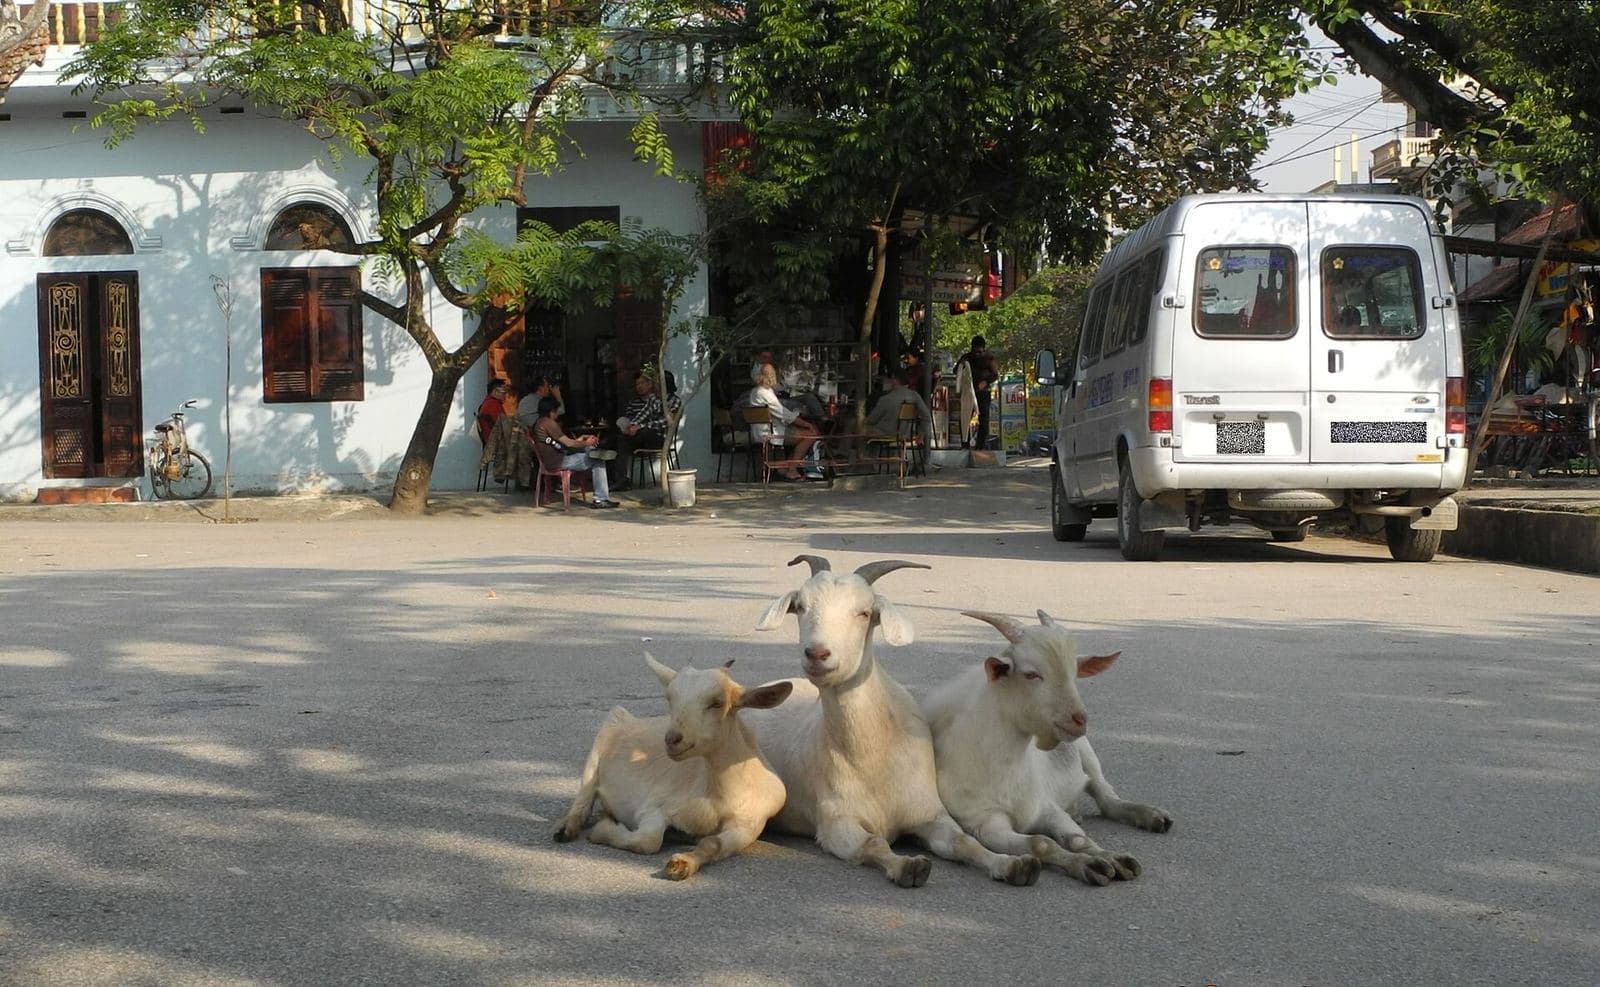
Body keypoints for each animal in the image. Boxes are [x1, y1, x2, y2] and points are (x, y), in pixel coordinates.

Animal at [553, 652, 793, 880]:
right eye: (670, 698)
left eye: (717, 703)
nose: (672, 739)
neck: (719, 795)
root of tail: (631, 719)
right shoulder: (655, 807)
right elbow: (648, 840)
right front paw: (602, 829)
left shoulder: (748, 825)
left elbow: (712, 844)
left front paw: (681, 864)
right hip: (602, 738)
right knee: (584, 797)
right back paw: (566, 828)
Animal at [749, 556, 1040, 888]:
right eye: (800, 607)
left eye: (864, 612)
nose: (817, 653)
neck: (874, 758)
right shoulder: (835, 823)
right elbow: (873, 843)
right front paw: (909, 866)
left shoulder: (929, 813)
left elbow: (964, 842)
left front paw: (1014, 864)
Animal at [924, 610, 1173, 886]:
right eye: (1032, 674)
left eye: (1075, 673)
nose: (1079, 719)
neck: (1004, 771)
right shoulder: (985, 823)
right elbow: (1041, 843)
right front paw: (1089, 865)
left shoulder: (1047, 807)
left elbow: (1078, 839)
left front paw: (1114, 859)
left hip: (1087, 754)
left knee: (1107, 797)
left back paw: (1153, 816)